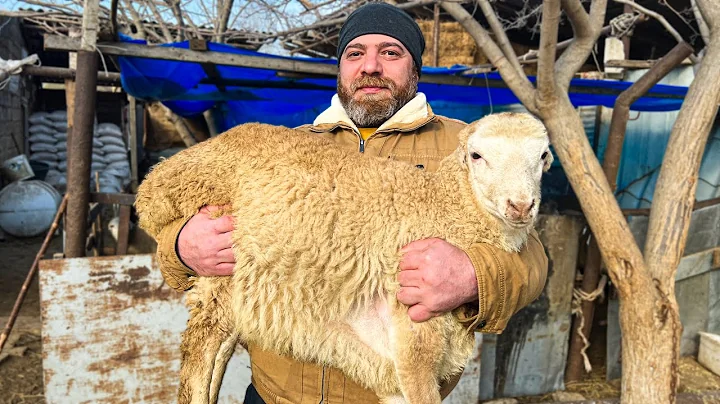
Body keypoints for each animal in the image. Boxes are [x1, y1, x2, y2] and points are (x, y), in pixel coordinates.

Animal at [134, 112, 552, 404]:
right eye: (477, 155)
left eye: (543, 157)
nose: (520, 206)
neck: (441, 206)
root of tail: (157, 177)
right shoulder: (413, 340)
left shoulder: (392, 365)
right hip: (217, 254)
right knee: (201, 347)